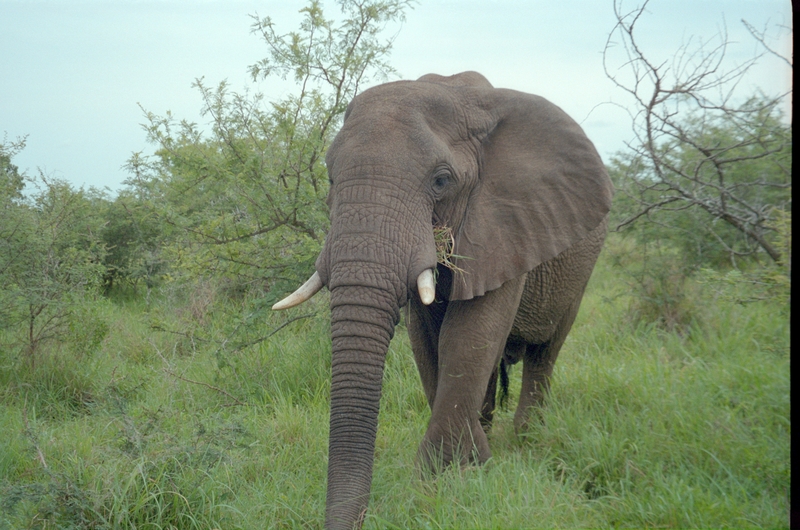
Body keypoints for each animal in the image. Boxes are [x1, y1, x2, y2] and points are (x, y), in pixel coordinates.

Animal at [274, 71, 612, 528]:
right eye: (329, 177)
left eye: (441, 180)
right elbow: (426, 341)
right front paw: (463, 470)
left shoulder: (505, 222)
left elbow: (468, 336)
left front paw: (449, 476)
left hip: (580, 269)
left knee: (545, 353)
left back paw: (526, 439)